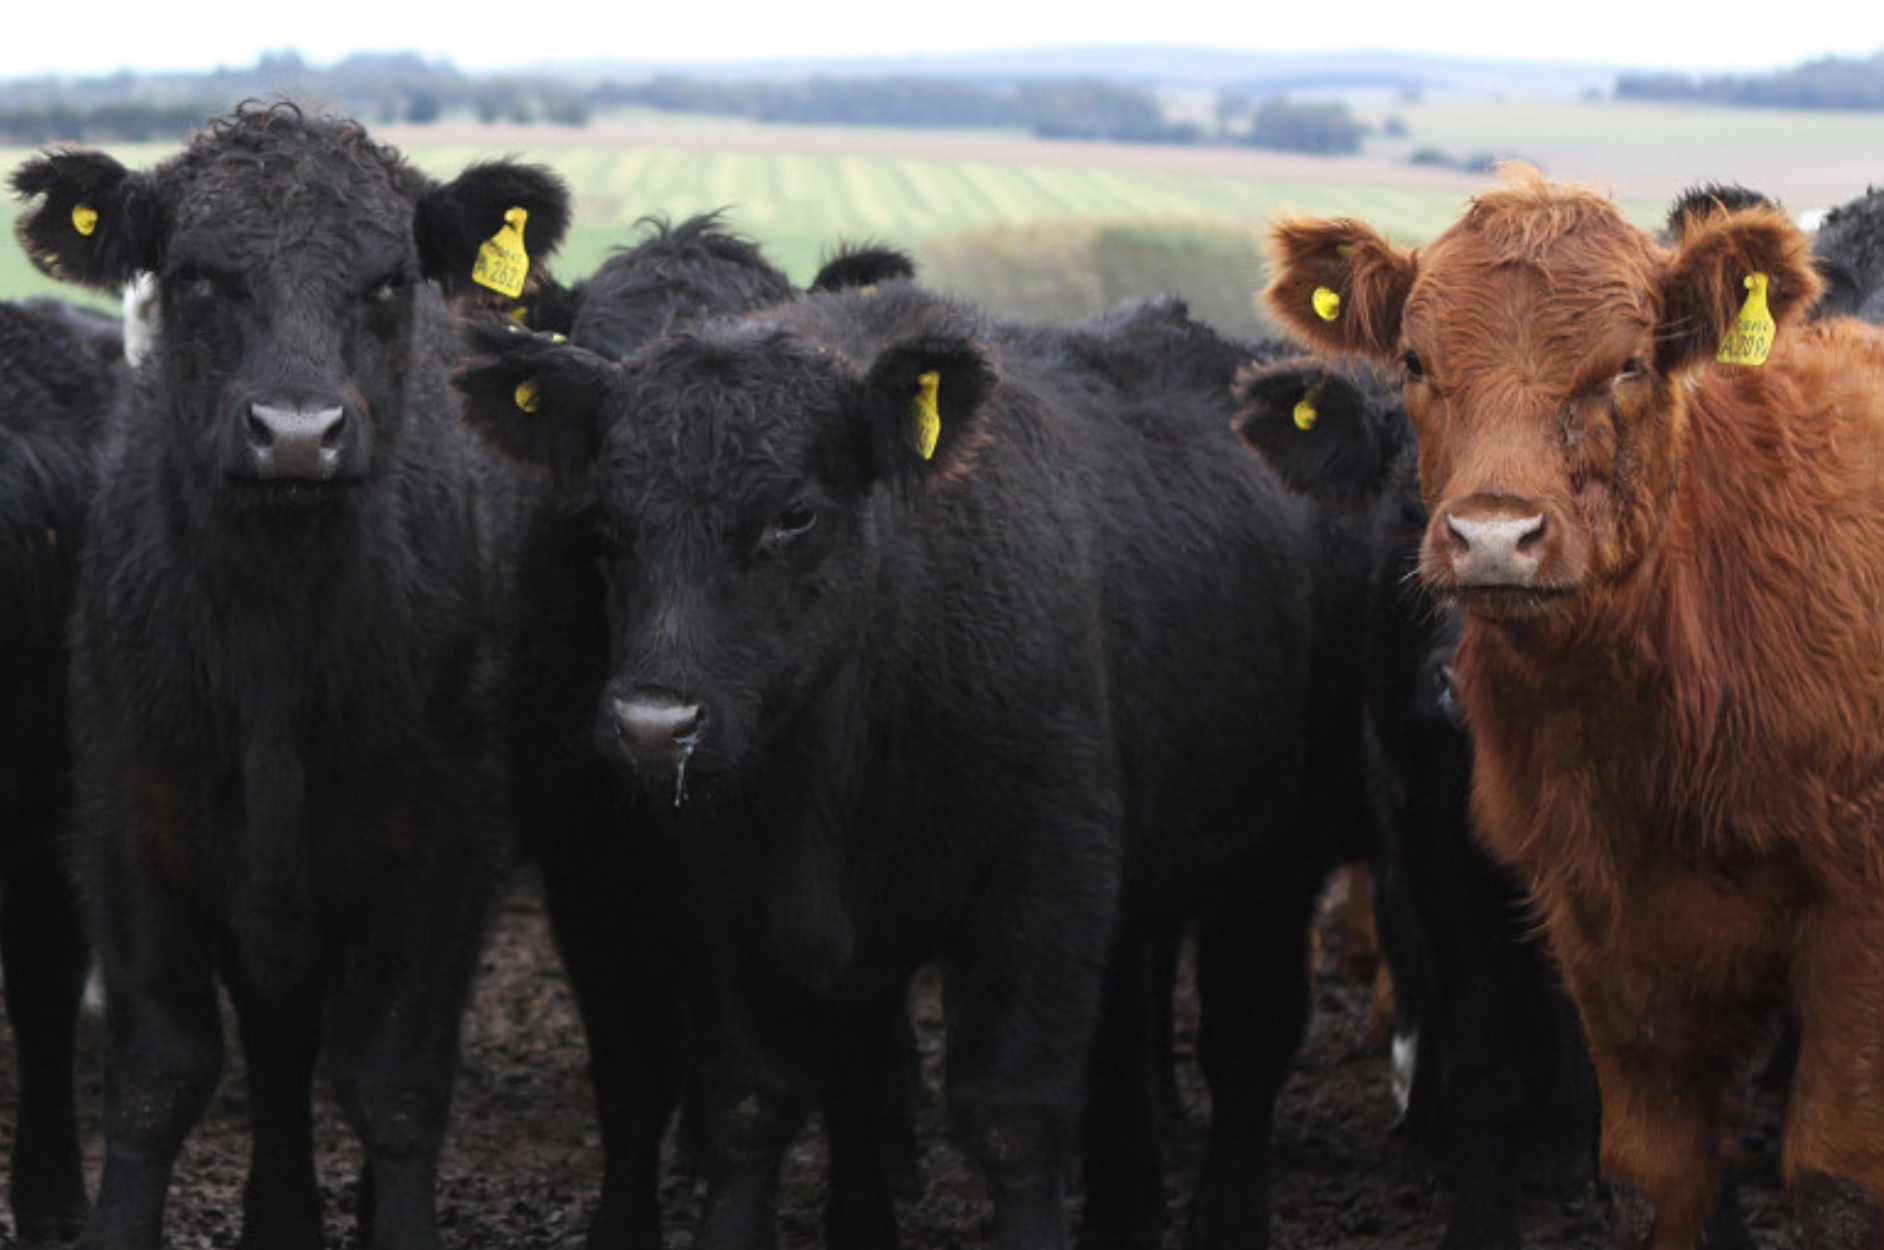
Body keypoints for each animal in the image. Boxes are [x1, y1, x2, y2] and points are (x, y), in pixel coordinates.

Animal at [11, 107, 565, 1250]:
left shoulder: (450, 840)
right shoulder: (127, 817)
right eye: (197, 276)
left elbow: (394, 1078)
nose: (299, 434)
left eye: (390, 280)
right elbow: (158, 1072)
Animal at [463, 286, 1348, 1250]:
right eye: (605, 524)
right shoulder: (737, 901)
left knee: (1248, 1041)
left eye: (795, 515)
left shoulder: (1046, 888)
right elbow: (758, 1100)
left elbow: (1012, 1117)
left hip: (1273, 865)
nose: (655, 727)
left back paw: (1227, 1214)